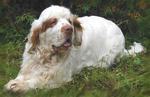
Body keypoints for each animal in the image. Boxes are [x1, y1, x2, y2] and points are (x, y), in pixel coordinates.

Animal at [4, 4, 144, 92]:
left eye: (69, 21)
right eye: (53, 21)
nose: (69, 29)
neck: (47, 56)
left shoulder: (59, 78)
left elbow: (37, 81)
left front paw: (18, 86)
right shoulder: (29, 67)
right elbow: (22, 76)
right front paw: (15, 82)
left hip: (107, 57)